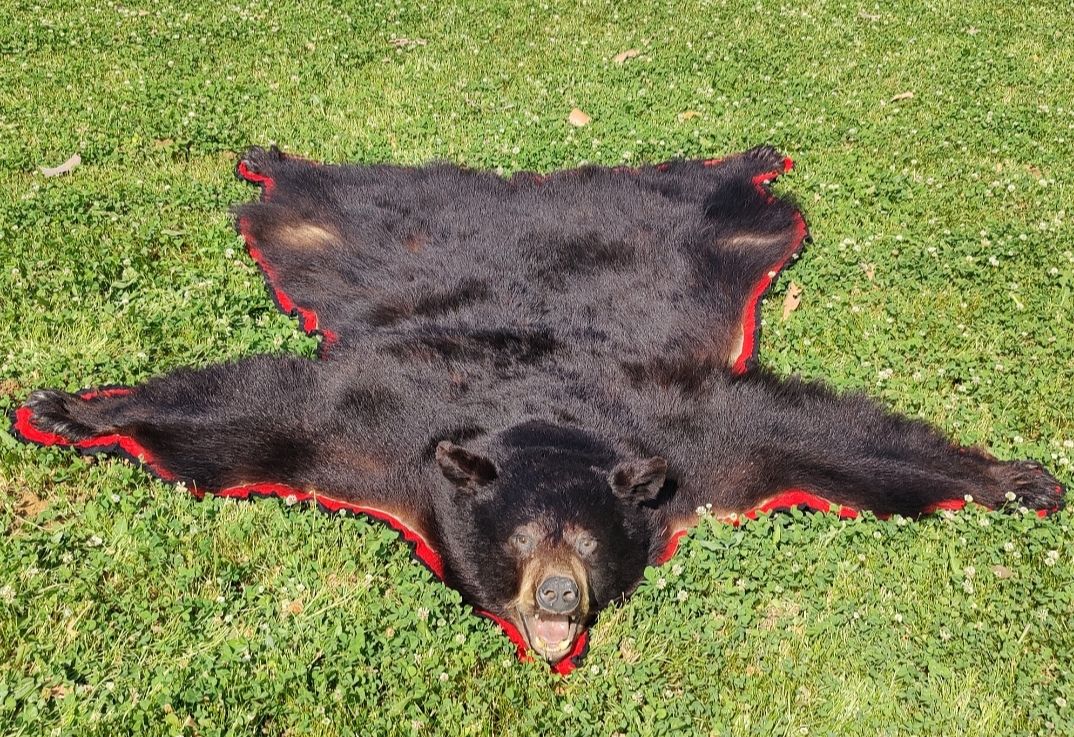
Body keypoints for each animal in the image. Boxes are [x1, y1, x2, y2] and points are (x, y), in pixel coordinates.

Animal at [13, 145, 1065, 668]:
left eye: (589, 543)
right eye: (522, 540)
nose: (558, 597)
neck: (549, 419)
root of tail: (523, 195)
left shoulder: (705, 447)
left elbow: (833, 442)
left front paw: (1015, 477)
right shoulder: (377, 431)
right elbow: (258, 413)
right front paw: (71, 410)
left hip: (712, 233)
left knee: (716, 192)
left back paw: (749, 153)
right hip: (349, 224)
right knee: (317, 194)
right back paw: (267, 154)